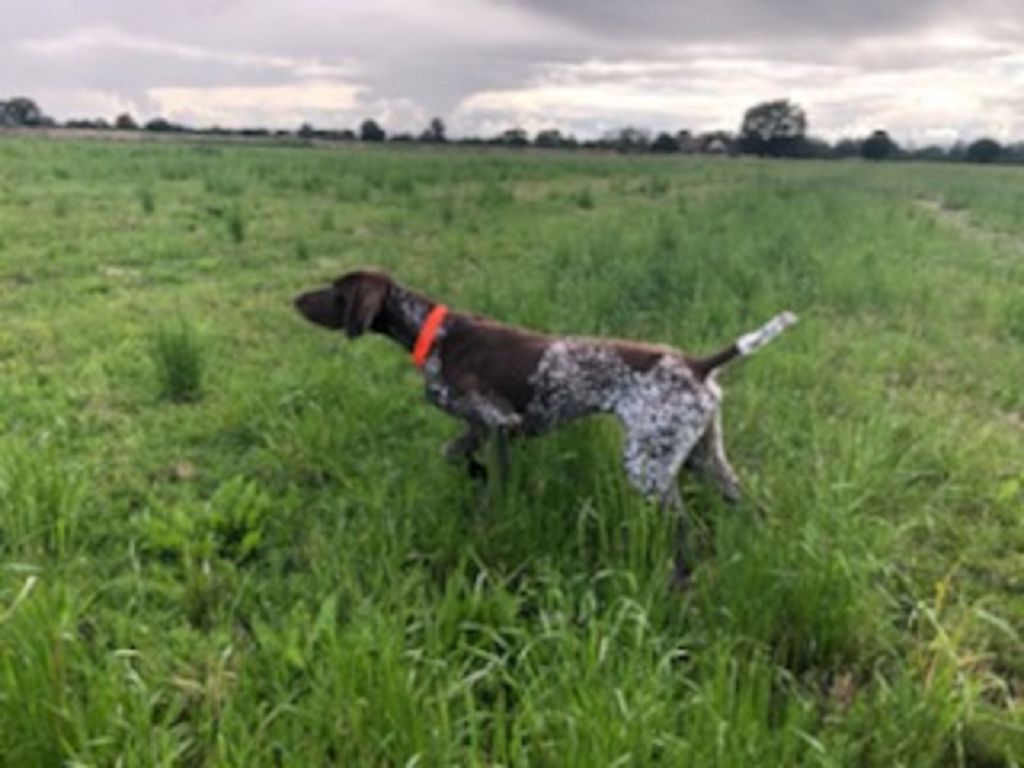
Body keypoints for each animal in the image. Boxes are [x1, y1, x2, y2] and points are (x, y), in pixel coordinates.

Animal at [292, 270, 794, 581]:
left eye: (336, 290)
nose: (295, 299)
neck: (434, 333)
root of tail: (696, 365)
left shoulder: (499, 422)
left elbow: (492, 480)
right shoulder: (481, 427)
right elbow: (457, 455)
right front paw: (475, 480)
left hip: (648, 465)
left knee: (684, 528)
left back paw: (678, 578)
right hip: (704, 460)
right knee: (750, 508)